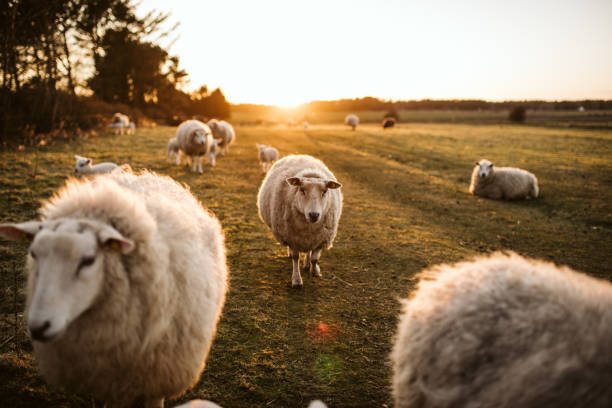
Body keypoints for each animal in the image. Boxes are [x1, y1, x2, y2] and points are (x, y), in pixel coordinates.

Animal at [256, 155, 344, 288]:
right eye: (302, 190)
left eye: (324, 191)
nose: (314, 215)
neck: (309, 226)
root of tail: (299, 155)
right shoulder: (292, 238)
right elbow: (295, 258)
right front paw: (297, 280)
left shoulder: (322, 238)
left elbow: (315, 258)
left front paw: (315, 271)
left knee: (309, 251)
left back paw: (307, 264)